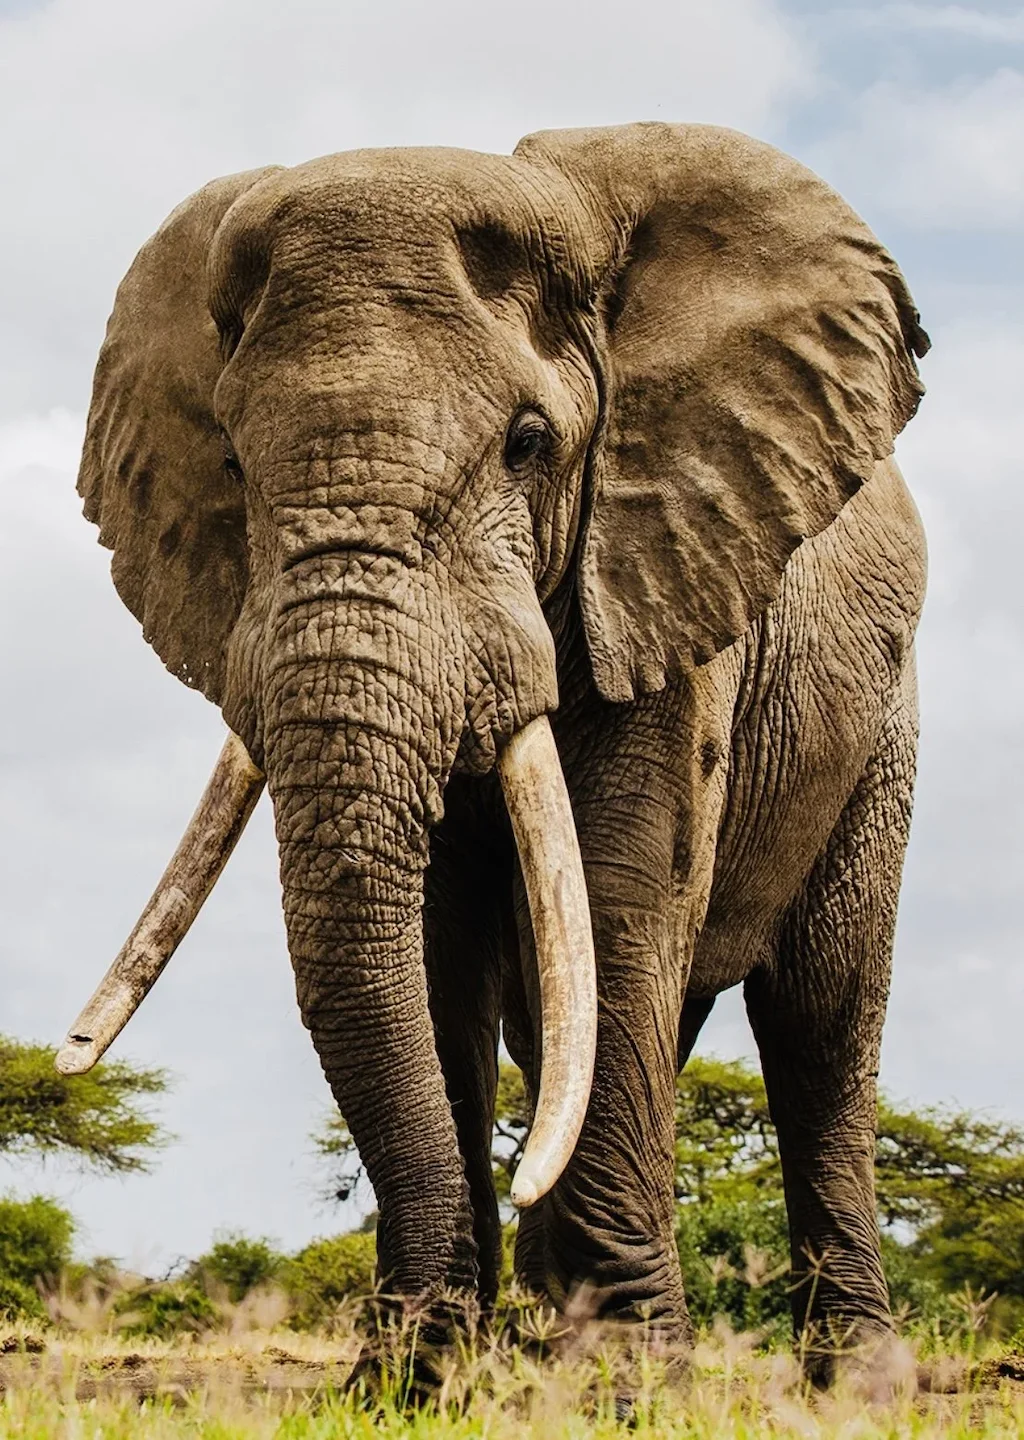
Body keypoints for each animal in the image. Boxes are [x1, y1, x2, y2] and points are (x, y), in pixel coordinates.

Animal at [58, 122, 929, 1370]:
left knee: (821, 1018)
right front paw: (419, 1378)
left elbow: (616, 905)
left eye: (528, 444)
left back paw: (855, 1380)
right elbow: (438, 949)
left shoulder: (662, 574)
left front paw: (622, 1379)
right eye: (228, 460)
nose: (69, 1051)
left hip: (880, 727)